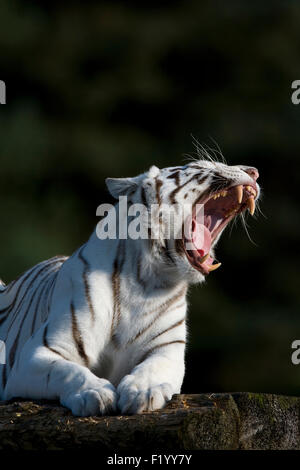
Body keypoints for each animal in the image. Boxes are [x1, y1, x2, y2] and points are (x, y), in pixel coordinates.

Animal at [0, 160, 258, 416]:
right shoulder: (38, 353)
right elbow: (66, 371)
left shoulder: (167, 350)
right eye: (199, 165)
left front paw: (142, 391)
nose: (254, 172)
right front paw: (94, 393)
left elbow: (154, 367)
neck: (146, 282)